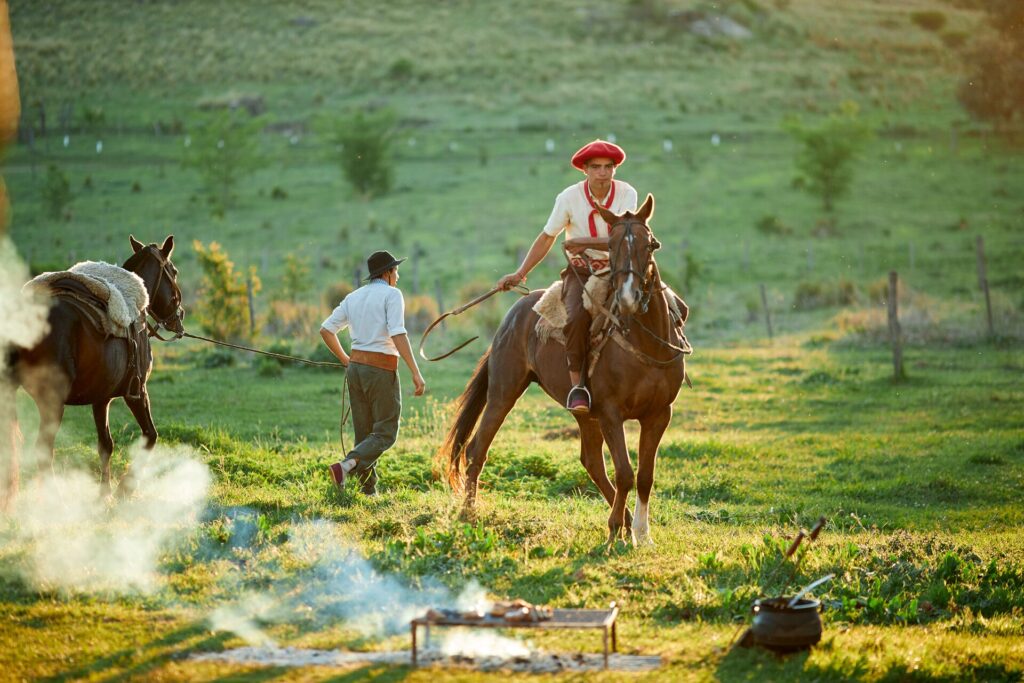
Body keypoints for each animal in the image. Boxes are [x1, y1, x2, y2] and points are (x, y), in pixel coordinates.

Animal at [2, 236, 184, 501]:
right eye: (174, 271)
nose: (179, 318)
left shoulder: (101, 398)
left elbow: (105, 445)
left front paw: (104, 493)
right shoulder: (137, 393)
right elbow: (150, 435)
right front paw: (124, 488)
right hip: (52, 401)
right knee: (44, 450)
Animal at [438, 194, 688, 548]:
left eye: (649, 244)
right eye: (610, 246)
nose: (627, 297)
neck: (645, 344)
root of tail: (514, 313)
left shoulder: (658, 414)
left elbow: (644, 475)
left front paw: (641, 533)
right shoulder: (611, 413)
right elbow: (625, 472)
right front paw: (616, 532)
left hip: (584, 413)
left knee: (592, 462)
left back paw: (626, 520)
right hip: (504, 392)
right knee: (476, 449)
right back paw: (468, 514)